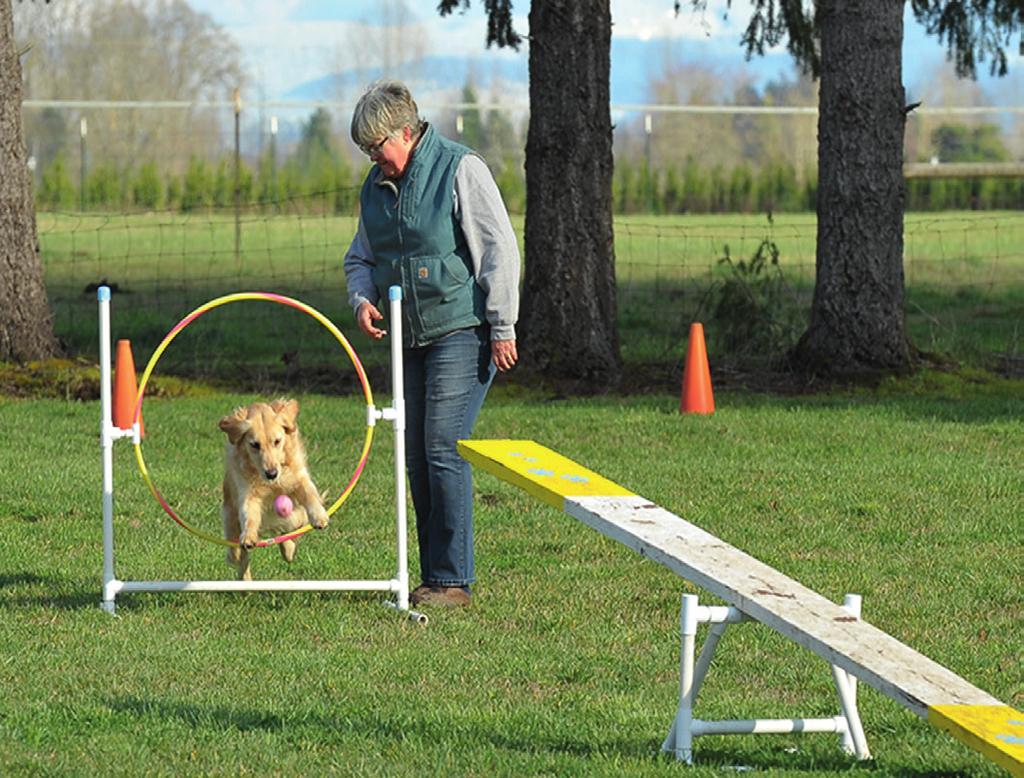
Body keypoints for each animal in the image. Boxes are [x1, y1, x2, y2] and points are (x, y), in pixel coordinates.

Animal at [219, 401, 327, 577]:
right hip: (231, 524)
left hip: (293, 517)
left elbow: (309, 494)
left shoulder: (299, 478)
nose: (271, 474)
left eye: (277, 441)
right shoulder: (248, 494)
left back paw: (288, 550)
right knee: (240, 559)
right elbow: (249, 515)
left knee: (288, 531)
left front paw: (319, 517)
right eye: (254, 445)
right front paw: (248, 535)